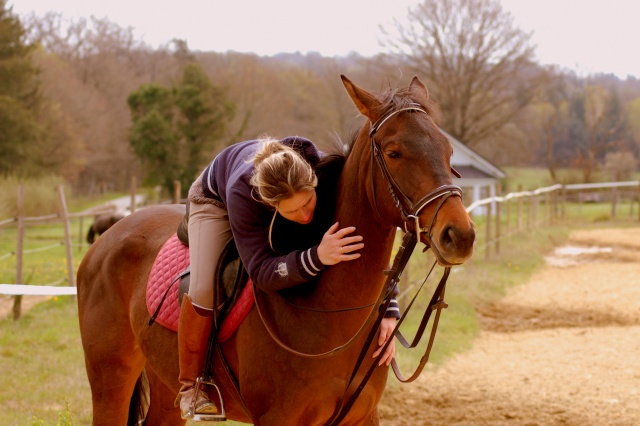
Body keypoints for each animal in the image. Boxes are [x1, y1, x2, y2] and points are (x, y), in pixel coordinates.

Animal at [76, 75, 476, 424]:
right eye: (394, 152)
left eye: (448, 150)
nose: (460, 235)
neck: (330, 315)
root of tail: (106, 239)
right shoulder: (277, 418)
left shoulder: (362, 417)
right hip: (111, 380)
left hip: (163, 381)